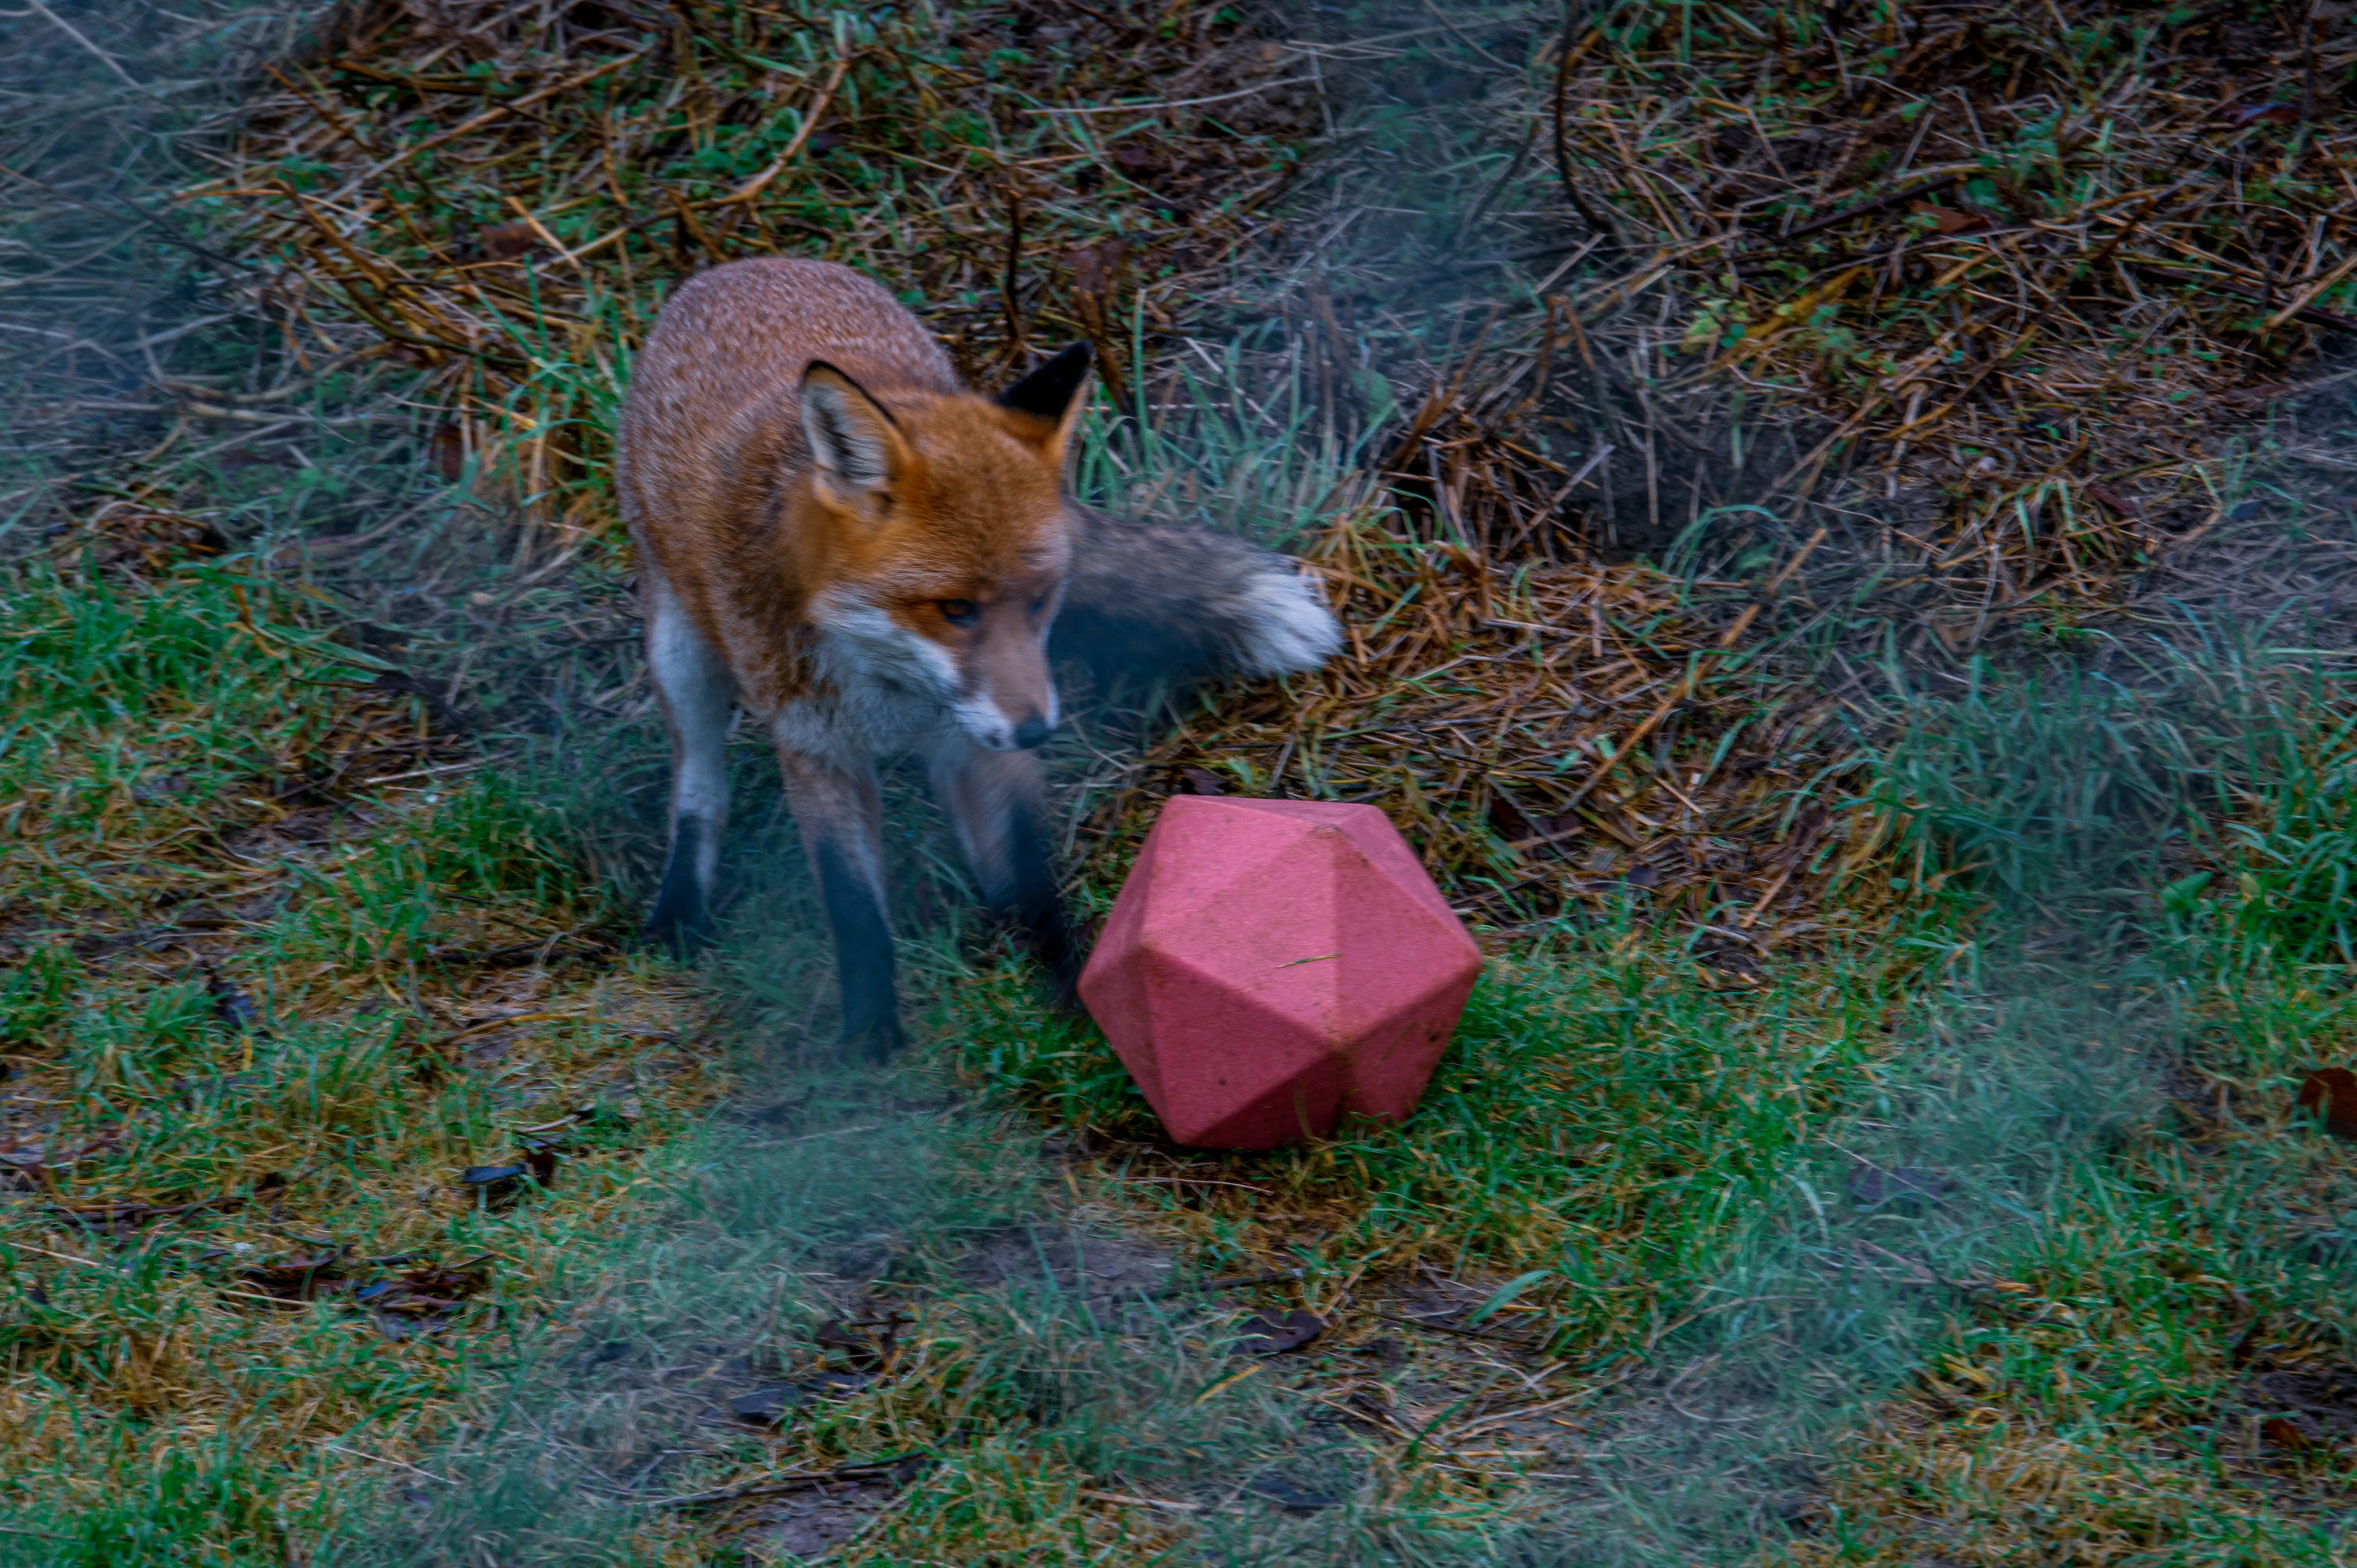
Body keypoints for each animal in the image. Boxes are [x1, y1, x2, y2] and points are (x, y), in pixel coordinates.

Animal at [616, 258, 1340, 1059]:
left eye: (1040, 601)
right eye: (955, 609)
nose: (1038, 732)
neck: (891, 686)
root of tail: (749, 268)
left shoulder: (983, 737)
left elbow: (1028, 877)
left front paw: (1083, 1000)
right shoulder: (818, 748)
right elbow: (854, 908)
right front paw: (870, 1042)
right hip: (681, 654)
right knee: (698, 788)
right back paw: (679, 909)